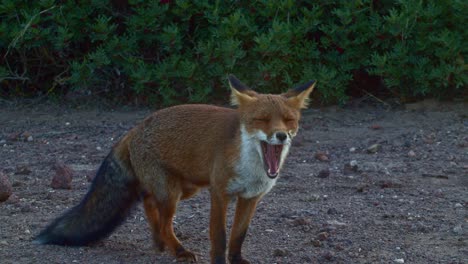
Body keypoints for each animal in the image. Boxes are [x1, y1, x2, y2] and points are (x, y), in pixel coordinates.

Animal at [34, 75, 316, 264]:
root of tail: (133, 129)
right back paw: (177, 249)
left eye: (289, 120)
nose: (281, 135)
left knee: (148, 201)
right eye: (262, 120)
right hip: (172, 193)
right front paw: (218, 260)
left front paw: (236, 259)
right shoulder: (219, 192)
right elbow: (220, 235)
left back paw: (160, 242)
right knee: (162, 219)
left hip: (184, 189)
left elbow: (238, 235)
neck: (252, 168)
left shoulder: (250, 197)